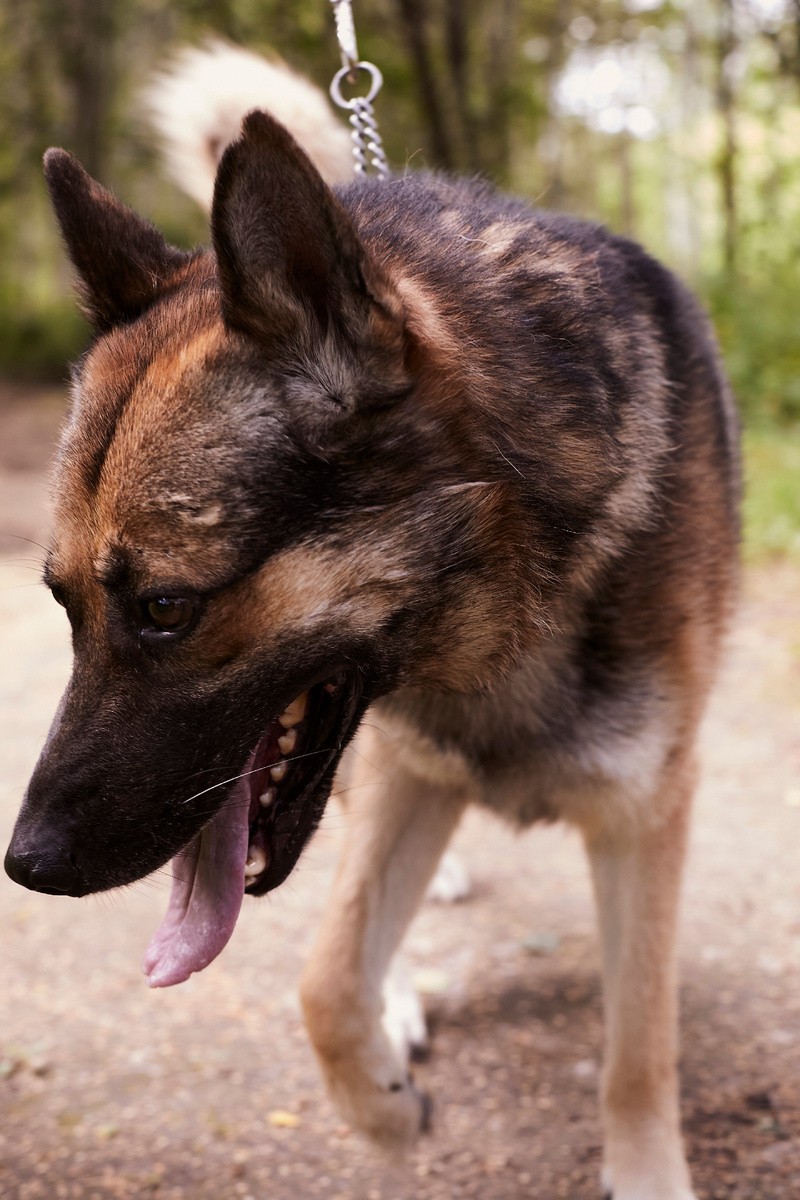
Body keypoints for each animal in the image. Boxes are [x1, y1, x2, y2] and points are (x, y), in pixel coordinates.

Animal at [3, 42, 738, 1195]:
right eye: (63, 604)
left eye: (166, 607)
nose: (25, 865)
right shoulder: (401, 775)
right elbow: (326, 981)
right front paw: (385, 1112)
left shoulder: (643, 811)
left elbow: (636, 1044)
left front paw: (646, 1171)